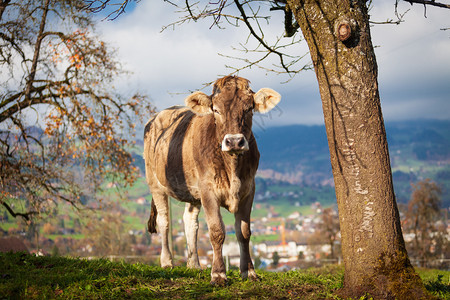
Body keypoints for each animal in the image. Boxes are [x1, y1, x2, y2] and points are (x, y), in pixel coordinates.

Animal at [144, 75, 280, 284]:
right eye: (216, 109)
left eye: (249, 108)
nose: (234, 141)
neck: (232, 169)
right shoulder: (208, 190)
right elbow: (217, 231)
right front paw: (218, 274)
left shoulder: (249, 189)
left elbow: (244, 232)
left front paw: (248, 272)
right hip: (155, 184)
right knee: (164, 221)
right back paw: (167, 262)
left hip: (193, 191)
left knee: (190, 221)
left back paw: (194, 264)